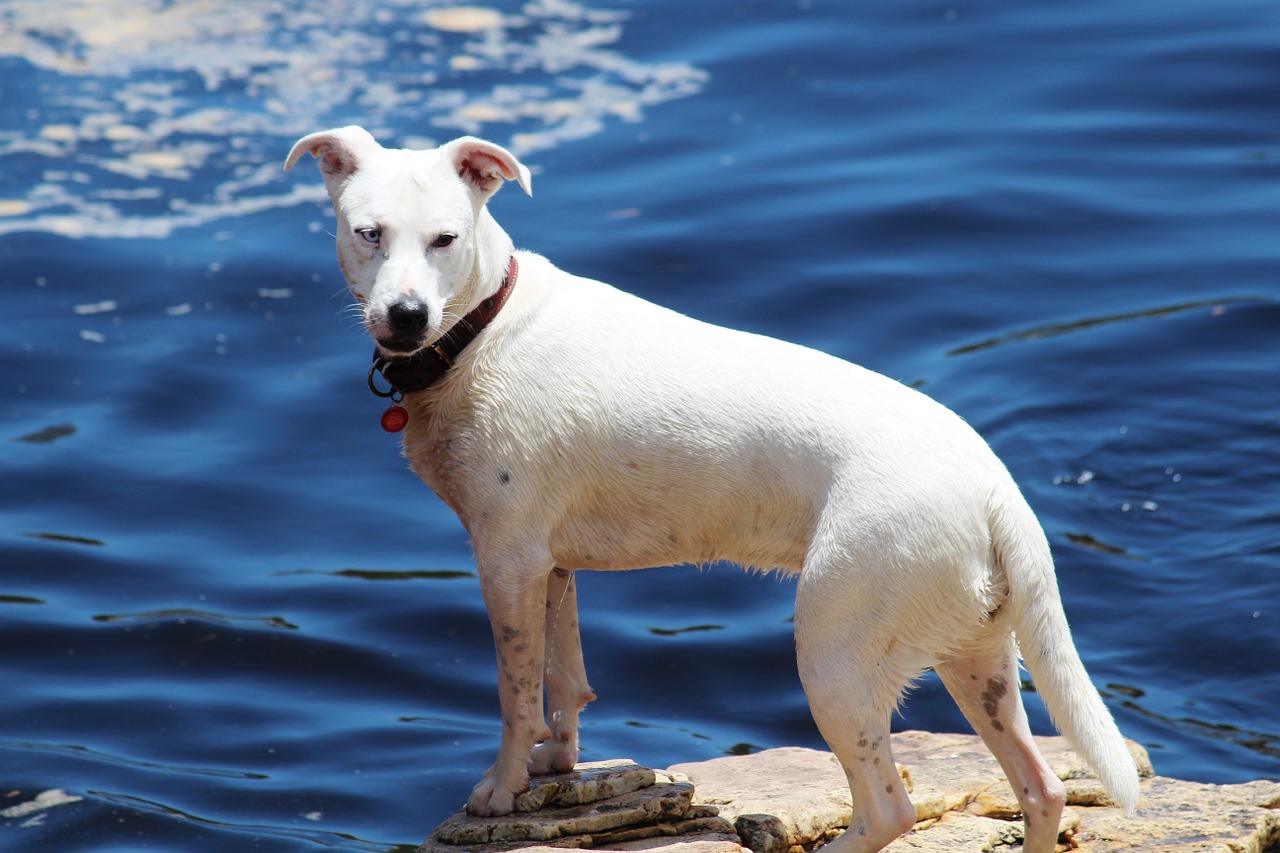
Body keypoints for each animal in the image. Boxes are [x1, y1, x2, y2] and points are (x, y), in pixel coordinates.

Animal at [285, 128, 1136, 850]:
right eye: (368, 232)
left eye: (445, 240)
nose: (404, 316)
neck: (480, 328)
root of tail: (996, 486)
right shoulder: (549, 566)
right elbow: (564, 676)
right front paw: (557, 763)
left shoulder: (506, 560)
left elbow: (515, 690)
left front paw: (502, 789)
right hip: (977, 655)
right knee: (1041, 789)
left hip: (835, 652)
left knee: (887, 805)